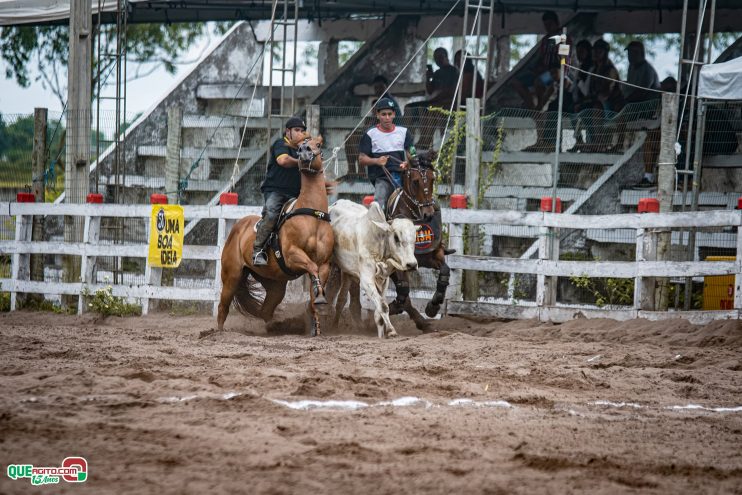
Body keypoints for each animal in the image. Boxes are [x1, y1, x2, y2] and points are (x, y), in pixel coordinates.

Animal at [218, 136, 334, 338]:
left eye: (318, 145)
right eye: (301, 147)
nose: (304, 153)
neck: (313, 216)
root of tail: (237, 227)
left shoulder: (325, 263)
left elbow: (315, 289)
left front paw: (317, 318)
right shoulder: (292, 255)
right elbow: (311, 267)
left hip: (274, 284)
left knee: (265, 310)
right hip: (231, 276)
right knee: (222, 307)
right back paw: (216, 333)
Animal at [330, 200, 418, 340]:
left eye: (415, 238)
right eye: (396, 237)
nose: (412, 264)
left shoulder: (384, 281)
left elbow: (379, 313)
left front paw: (381, 335)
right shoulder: (366, 281)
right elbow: (383, 306)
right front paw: (391, 331)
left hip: (347, 272)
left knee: (341, 300)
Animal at [386, 149, 450, 332]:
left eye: (432, 178)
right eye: (415, 182)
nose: (428, 214)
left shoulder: (431, 256)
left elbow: (445, 271)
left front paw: (433, 306)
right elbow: (403, 291)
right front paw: (393, 306)